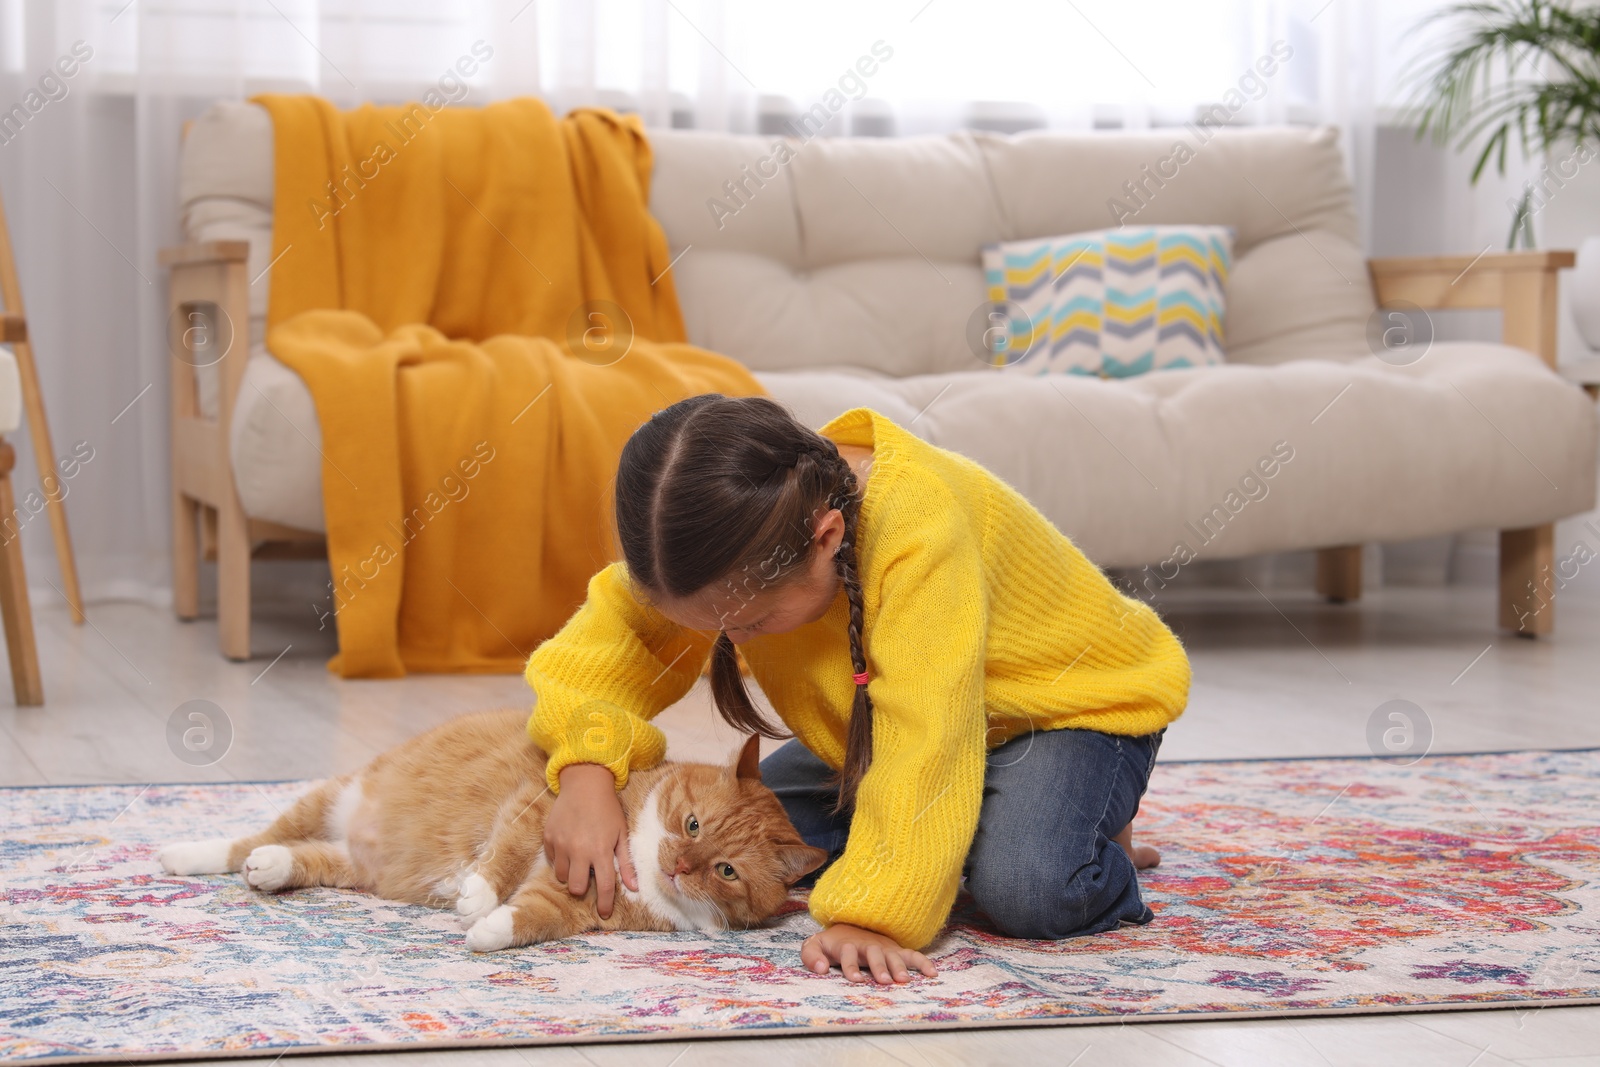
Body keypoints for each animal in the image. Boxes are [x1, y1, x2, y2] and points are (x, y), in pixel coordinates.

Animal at [157, 710, 825, 953]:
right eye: (691, 824)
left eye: (726, 870)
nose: (680, 867)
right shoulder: (540, 805)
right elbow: (504, 854)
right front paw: (476, 894)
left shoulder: (576, 903)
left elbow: (530, 918)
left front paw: (486, 929)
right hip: (330, 795)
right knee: (246, 839)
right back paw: (182, 852)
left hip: (351, 868)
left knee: (302, 857)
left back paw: (271, 868)